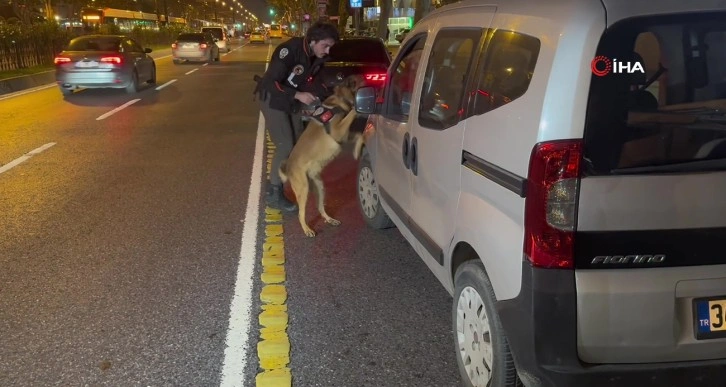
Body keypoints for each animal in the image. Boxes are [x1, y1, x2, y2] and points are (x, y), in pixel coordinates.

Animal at [282, 75, 366, 236]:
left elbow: (360, 134)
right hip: (303, 189)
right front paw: (356, 109)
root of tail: (288, 166)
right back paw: (307, 229)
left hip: (320, 187)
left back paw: (329, 219)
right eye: (364, 82)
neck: (340, 98)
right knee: (301, 214)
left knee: (320, 208)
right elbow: (352, 112)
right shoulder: (338, 132)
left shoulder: (343, 136)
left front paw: (357, 150)